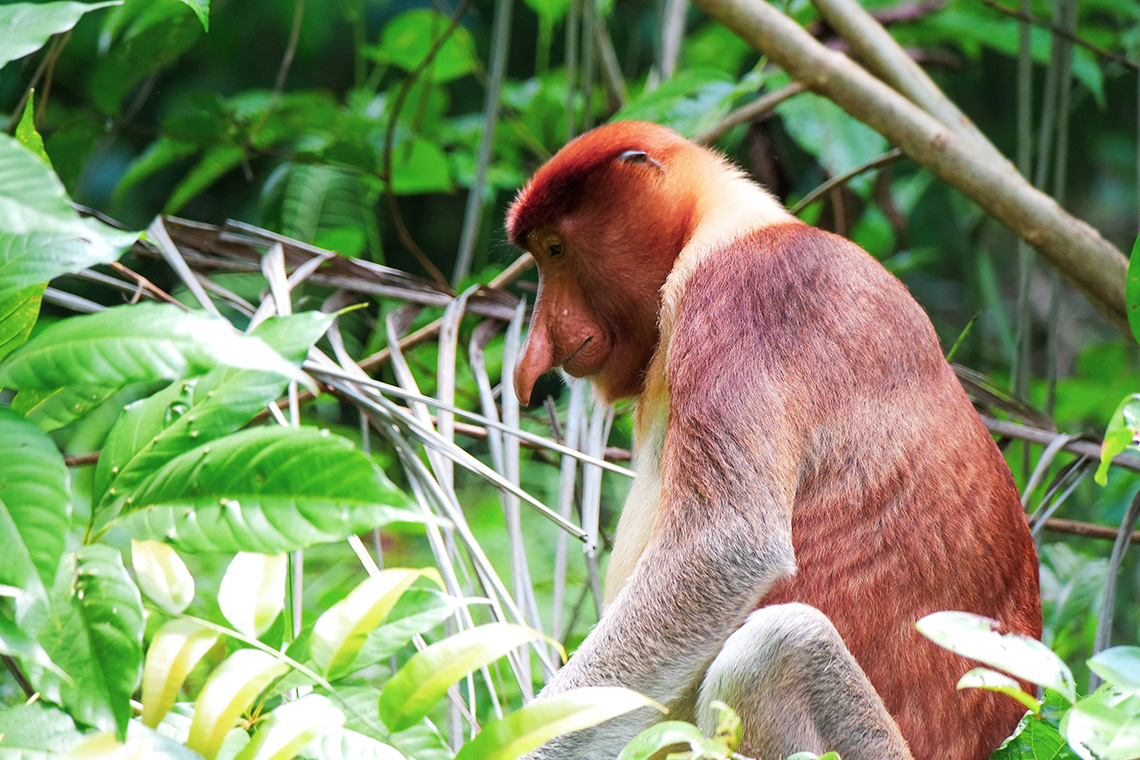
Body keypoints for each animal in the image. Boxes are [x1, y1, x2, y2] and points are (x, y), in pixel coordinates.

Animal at [508, 121, 1044, 760]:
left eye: (555, 250)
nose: (534, 356)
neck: (718, 226)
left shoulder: (742, 301)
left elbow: (726, 547)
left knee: (775, 647)